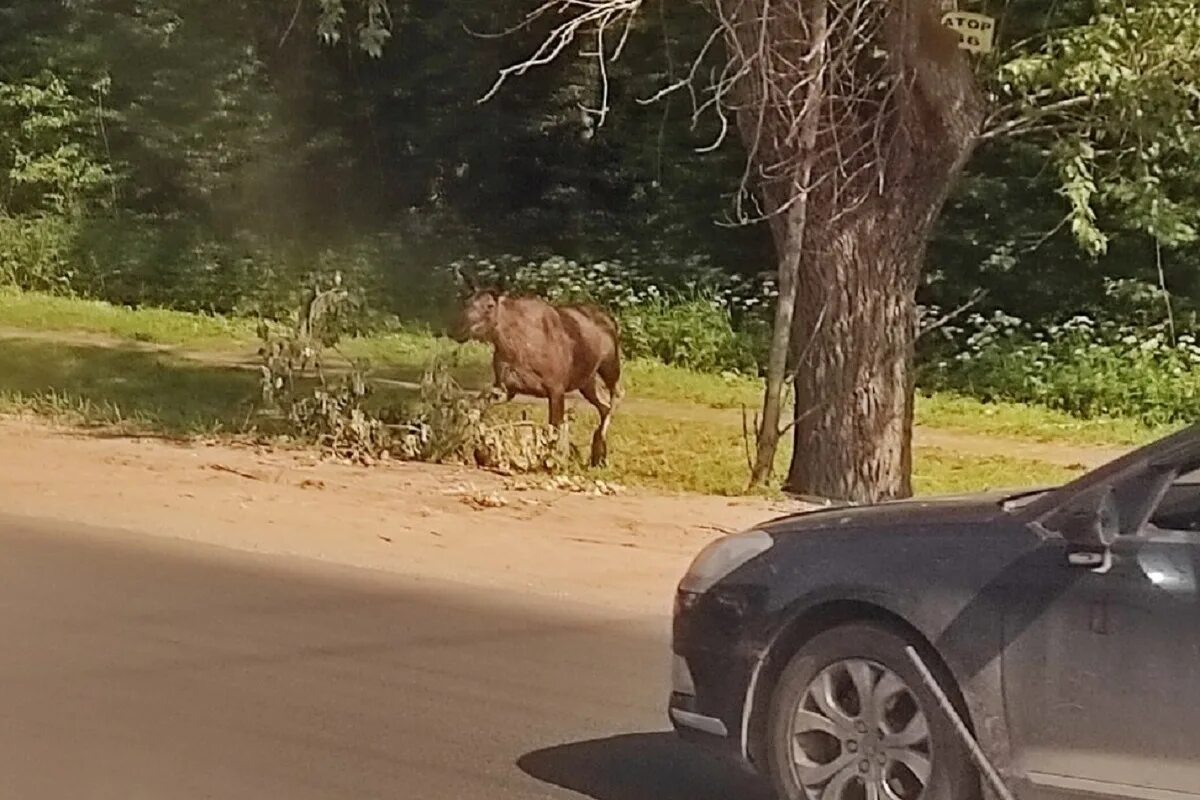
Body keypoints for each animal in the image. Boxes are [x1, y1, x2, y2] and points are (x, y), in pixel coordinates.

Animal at [448, 271, 619, 470]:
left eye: (490, 306)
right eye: (467, 303)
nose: (458, 330)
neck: (512, 347)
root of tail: (610, 319)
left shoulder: (556, 388)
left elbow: (555, 428)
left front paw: (554, 462)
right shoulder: (505, 387)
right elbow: (476, 409)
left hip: (610, 366)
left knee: (615, 397)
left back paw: (599, 450)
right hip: (587, 380)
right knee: (604, 405)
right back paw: (598, 455)